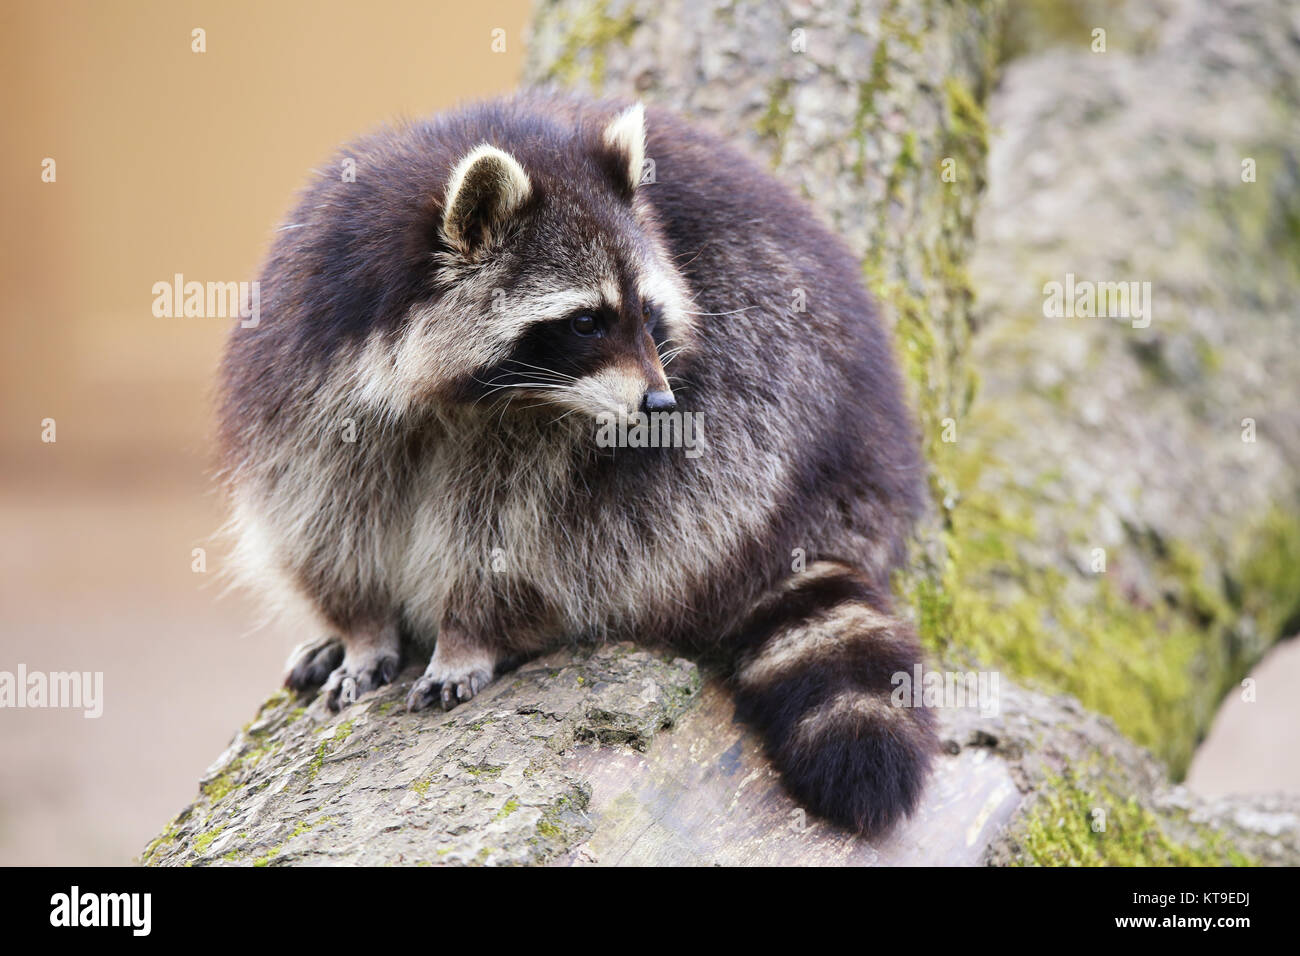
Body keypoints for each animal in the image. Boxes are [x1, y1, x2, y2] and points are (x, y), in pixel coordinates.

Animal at [217, 92, 936, 836]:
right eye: (586, 321)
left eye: (647, 311)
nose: (660, 402)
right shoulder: (308, 359)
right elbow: (323, 508)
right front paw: (361, 627)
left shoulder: (559, 432)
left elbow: (517, 539)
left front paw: (467, 631)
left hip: (781, 394)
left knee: (675, 504)